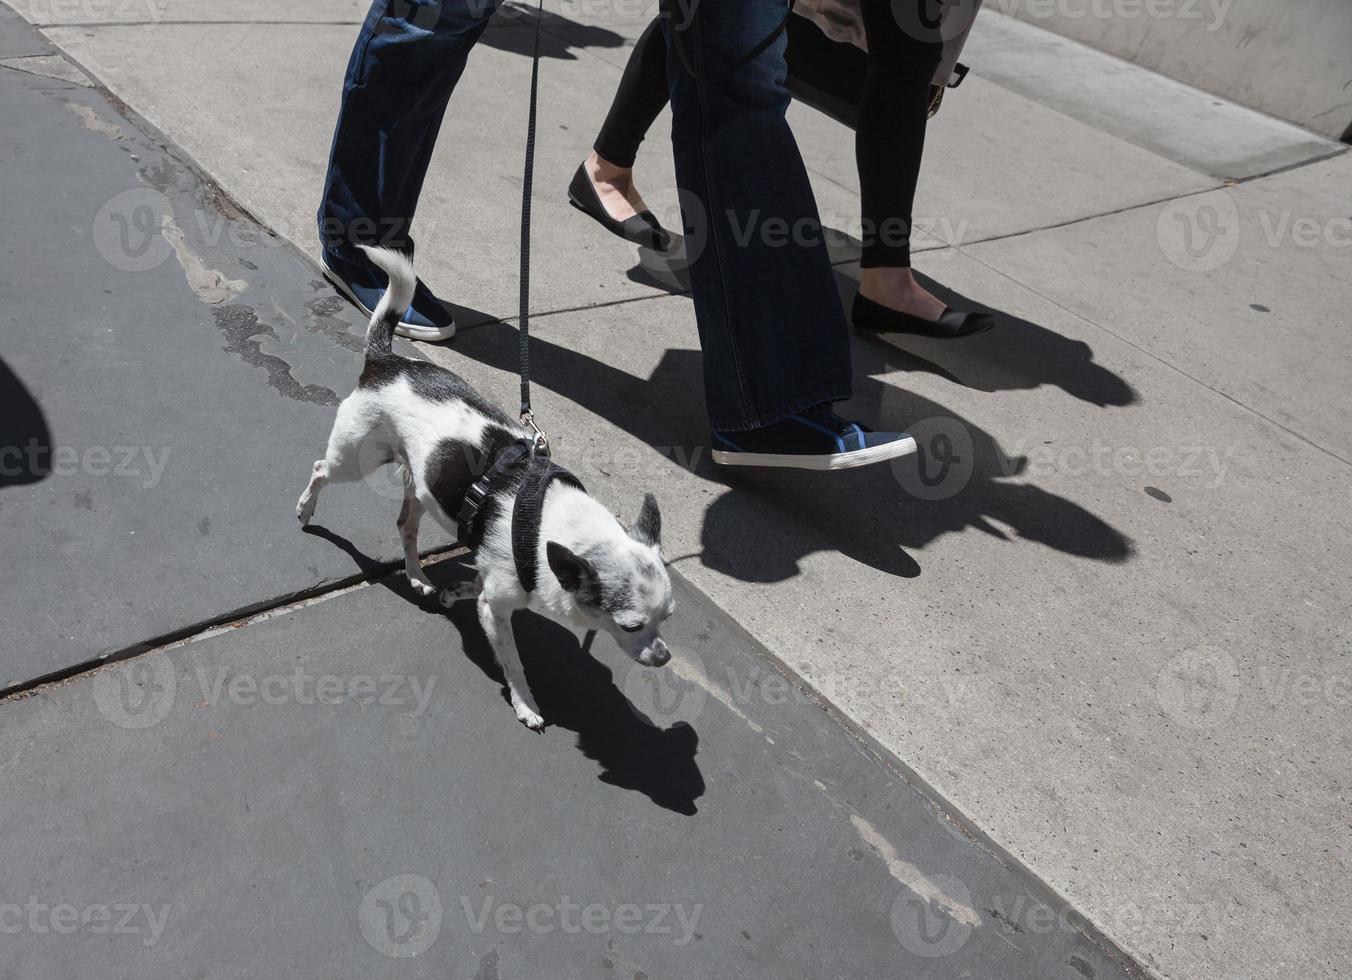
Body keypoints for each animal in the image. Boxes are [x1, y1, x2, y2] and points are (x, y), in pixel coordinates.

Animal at [298, 250, 673, 724]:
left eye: (668, 618)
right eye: (632, 626)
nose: (663, 657)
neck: (550, 526)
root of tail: (385, 361)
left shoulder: (499, 586)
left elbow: (478, 587)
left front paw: (455, 590)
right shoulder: (498, 609)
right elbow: (512, 660)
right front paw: (525, 703)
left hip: (419, 484)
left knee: (405, 526)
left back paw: (418, 575)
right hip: (356, 457)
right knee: (320, 470)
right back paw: (306, 509)